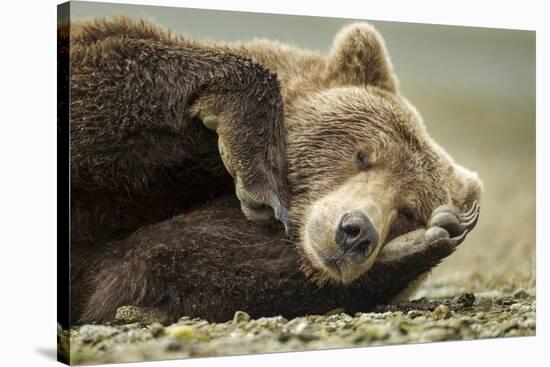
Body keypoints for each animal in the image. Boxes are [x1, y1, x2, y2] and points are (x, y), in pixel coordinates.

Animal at [61, 17, 484, 326]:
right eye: (362, 155)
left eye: (408, 211)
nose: (356, 231)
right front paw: (256, 173)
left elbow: (145, 269)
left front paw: (420, 243)